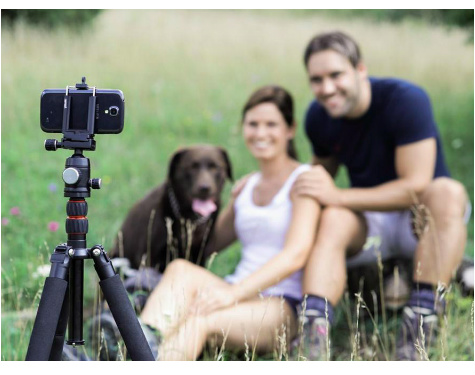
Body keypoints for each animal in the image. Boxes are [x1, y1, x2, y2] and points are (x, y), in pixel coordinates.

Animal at [109, 146, 232, 274]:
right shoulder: (150, 257)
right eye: (192, 167)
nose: (204, 188)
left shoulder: (199, 254)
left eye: (215, 167)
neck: (190, 219)